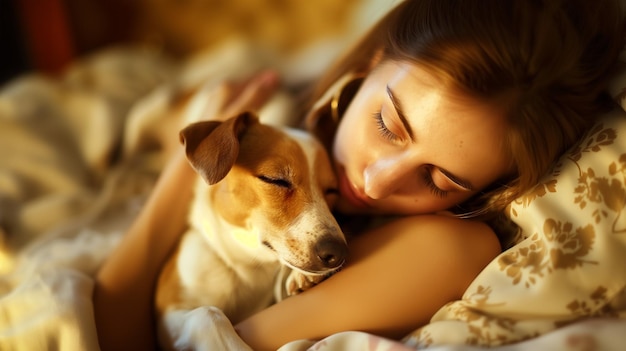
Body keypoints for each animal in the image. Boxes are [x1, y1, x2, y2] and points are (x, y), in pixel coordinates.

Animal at [153, 111, 344, 350]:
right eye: (276, 179)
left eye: (332, 190)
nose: (338, 252)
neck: (247, 269)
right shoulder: (167, 316)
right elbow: (209, 313)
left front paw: (301, 276)